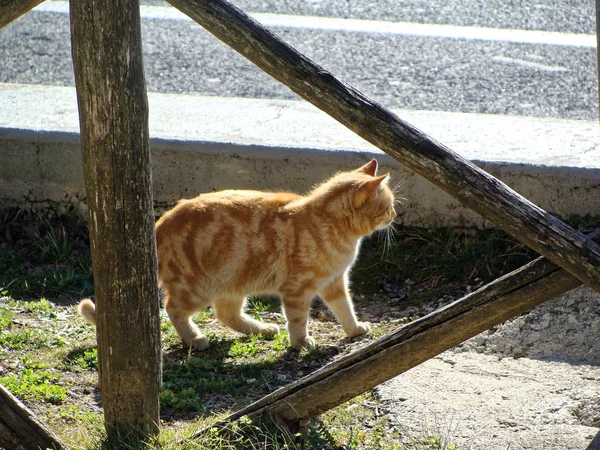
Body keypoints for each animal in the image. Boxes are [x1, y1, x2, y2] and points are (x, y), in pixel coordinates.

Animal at [79, 160, 398, 350]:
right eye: (388, 205)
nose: (395, 214)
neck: (326, 223)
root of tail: (158, 223)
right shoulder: (297, 289)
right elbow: (298, 320)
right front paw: (301, 342)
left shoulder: (335, 283)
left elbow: (345, 309)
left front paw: (354, 330)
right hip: (196, 288)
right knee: (173, 309)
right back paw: (195, 339)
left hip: (232, 284)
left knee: (226, 315)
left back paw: (262, 329)